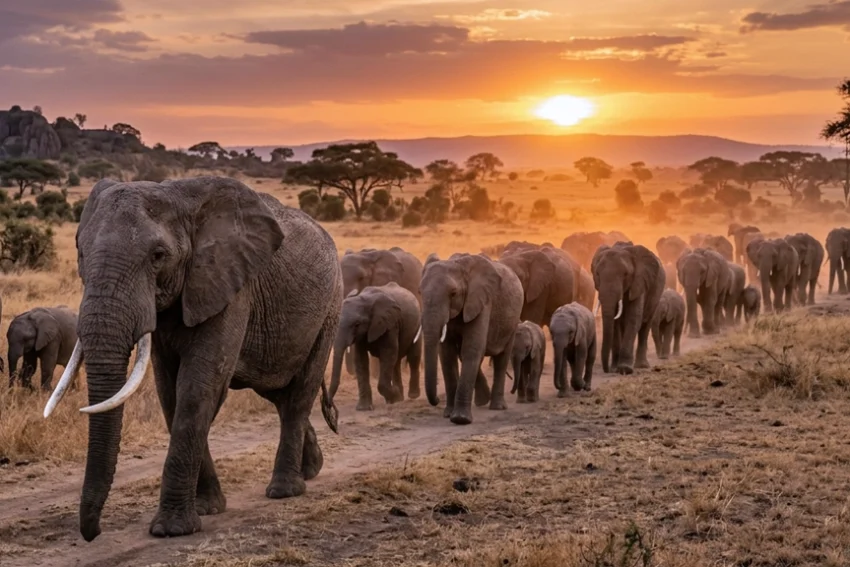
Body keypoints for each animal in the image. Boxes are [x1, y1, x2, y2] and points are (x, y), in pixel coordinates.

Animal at [43, 177, 341, 542]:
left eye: (158, 256)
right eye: (81, 253)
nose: (93, 533)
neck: (178, 197)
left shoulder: (228, 285)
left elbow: (197, 389)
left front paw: (172, 529)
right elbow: (169, 392)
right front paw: (207, 507)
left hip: (330, 307)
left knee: (299, 394)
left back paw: (285, 490)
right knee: (278, 394)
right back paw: (312, 469)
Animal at [420, 253, 523, 425]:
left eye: (453, 293)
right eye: (420, 293)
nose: (436, 400)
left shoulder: (482, 302)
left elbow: (472, 348)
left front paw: (460, 419)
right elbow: (447, 354)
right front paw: (448, 414)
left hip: (513, 321)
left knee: (501, 359)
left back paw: (497, 407)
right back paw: (482, 400)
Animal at [591, 243, 665, 375]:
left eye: (625, 274)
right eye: (597, 274)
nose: (607, 370)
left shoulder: (639, 283)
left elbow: (633, 318)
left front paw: (625, 369)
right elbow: (615, 322)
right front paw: (615, 368)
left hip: (656, 294)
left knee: (645, 326)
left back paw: (642, 366)